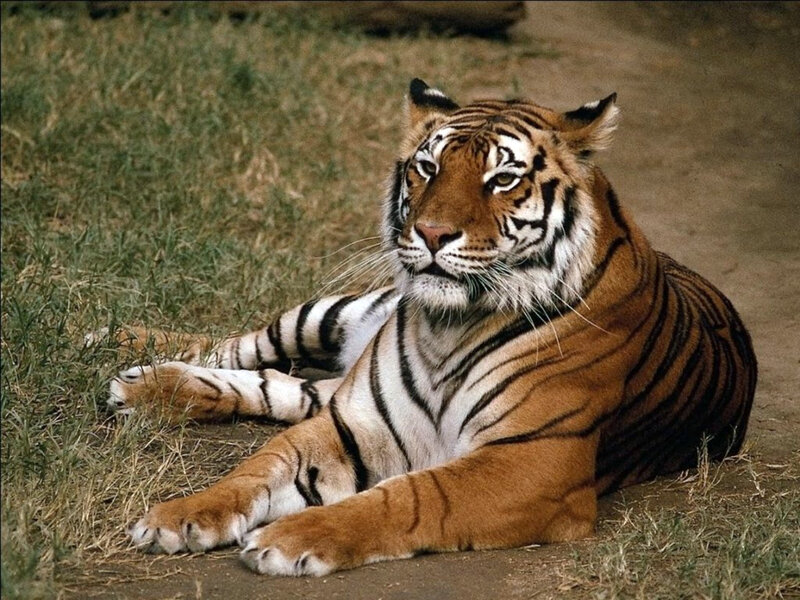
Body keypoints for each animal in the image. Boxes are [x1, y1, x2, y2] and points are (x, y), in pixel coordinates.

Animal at [105, 79, 757, 576]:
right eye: (427, 167)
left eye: (503, 179)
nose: (432, 233)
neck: (450, 325)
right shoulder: (352, 422)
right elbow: (257, 467)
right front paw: (178, 516)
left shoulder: (534, 461)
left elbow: (408, 495)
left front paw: (289, 539)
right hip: (336, 314)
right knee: (249, 347)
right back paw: (129, 359)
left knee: (286, 386)